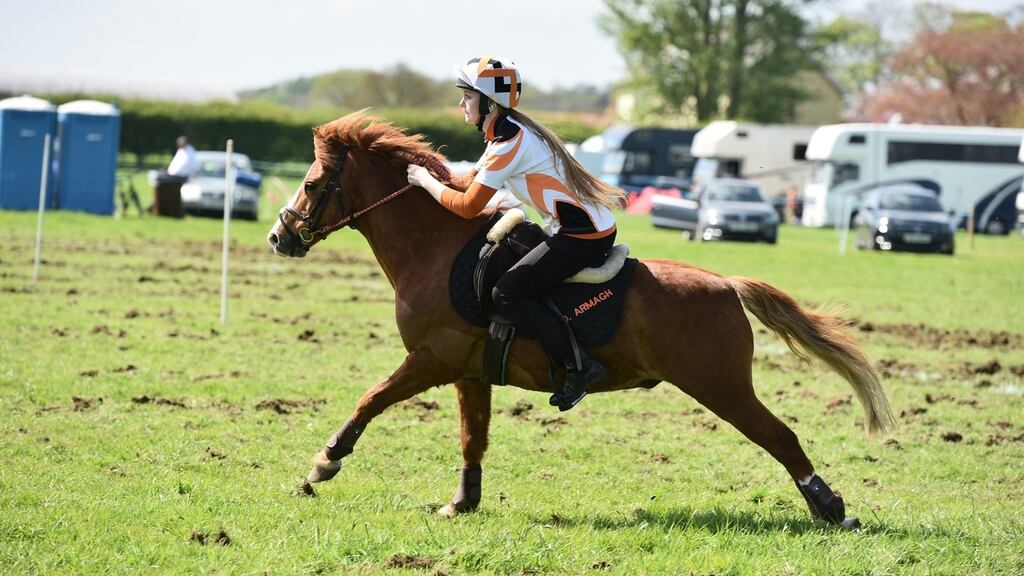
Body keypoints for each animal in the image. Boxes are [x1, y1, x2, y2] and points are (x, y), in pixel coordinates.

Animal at [266, 111, 895, 529]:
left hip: (721, 386)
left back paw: (831, 508)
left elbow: (370, 399)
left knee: (781, 436)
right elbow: (474, 438)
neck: (436, 250)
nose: (278, 237)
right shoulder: (467, 372)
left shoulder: (430, 360)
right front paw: (463, 502)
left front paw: (324, 463)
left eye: (313, 183)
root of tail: (727, 286)